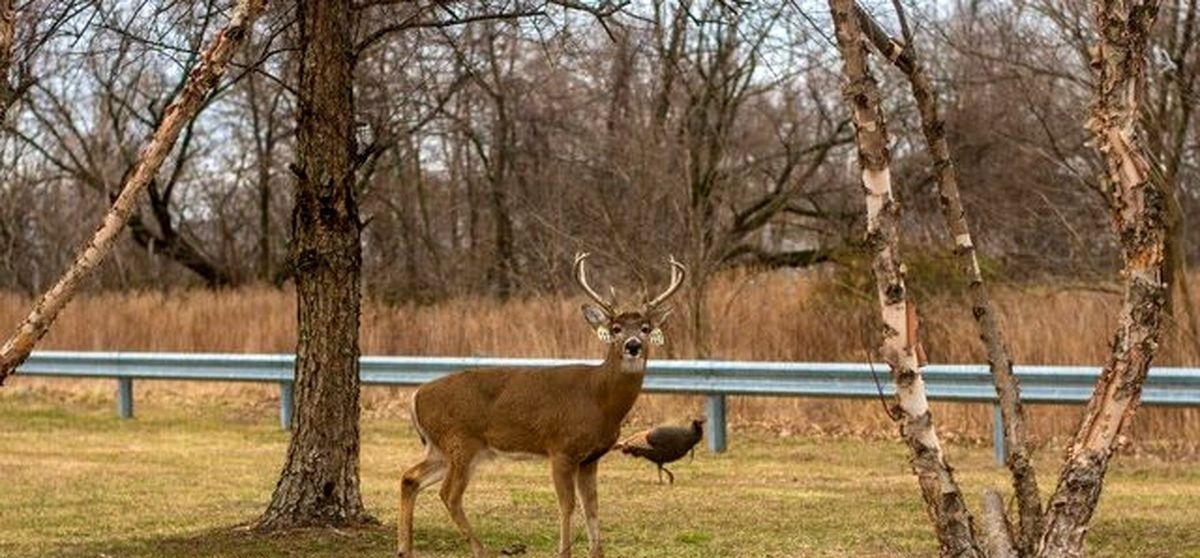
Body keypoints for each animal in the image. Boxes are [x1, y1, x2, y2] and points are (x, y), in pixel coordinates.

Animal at [398, 253, 686, 556]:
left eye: (645, 328)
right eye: (615, 329)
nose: (633, 345)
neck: (599, 399)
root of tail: (416, 396)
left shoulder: (591, 457)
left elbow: (592, 507)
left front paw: (596, 551)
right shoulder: (561, 448)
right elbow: (567, 505)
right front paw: (564, 551)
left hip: (441, 447)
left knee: (410, 478)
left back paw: (405, 548)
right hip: (461, 442)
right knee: (448, 494)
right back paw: (479, 549)